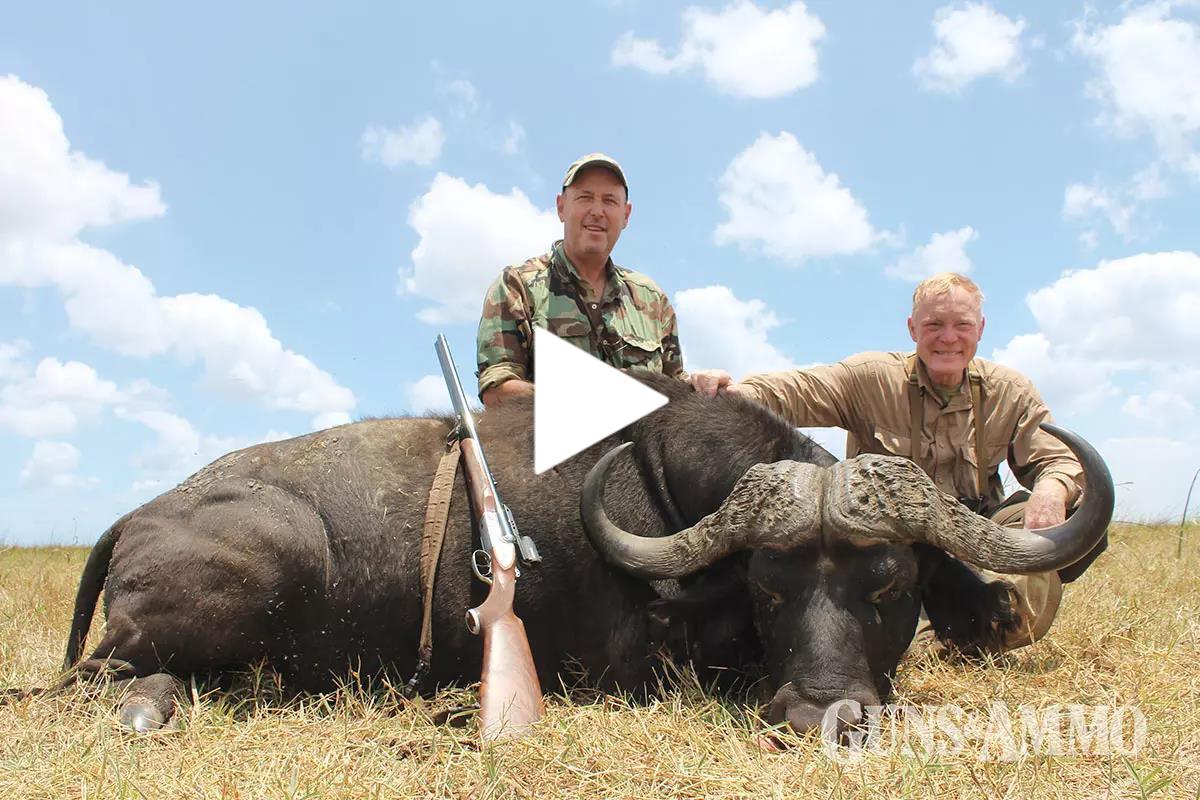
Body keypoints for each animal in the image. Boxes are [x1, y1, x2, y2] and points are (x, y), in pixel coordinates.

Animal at [45, 374, 1111, 735]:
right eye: (769, 591)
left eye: (889, 585)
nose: (819, 714)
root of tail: (140, 515)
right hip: (259, 572)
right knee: (111, 676)